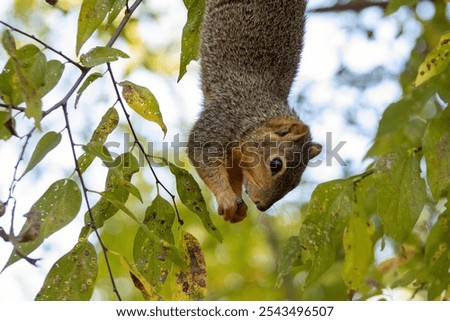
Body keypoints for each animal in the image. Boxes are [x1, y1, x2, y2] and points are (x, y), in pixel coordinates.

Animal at [186, 0, 320, 222]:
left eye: (294, 184)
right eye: (276, 164)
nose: (262, 206)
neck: (256, 113)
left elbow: (232, 174)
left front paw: (235, 205)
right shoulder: (220, 118)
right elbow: (201, 153)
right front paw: (227, 198)